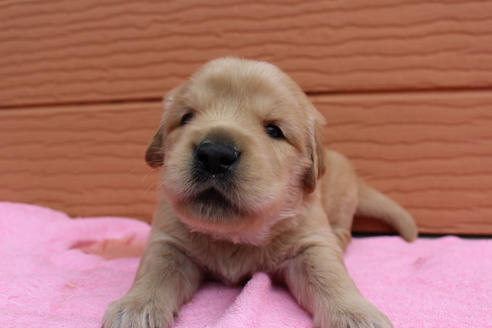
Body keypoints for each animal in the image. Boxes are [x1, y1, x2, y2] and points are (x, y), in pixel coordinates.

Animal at [102, 57, 418, 328]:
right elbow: (155, 270)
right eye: (187, 117)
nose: (214, 154)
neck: (234, 236)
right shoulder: (169, 240)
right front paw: (135, 307)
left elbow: (329, 274)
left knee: (343, 228)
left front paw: (354, 314)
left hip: (342, 195)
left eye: (274, 130)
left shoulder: (311, 241)